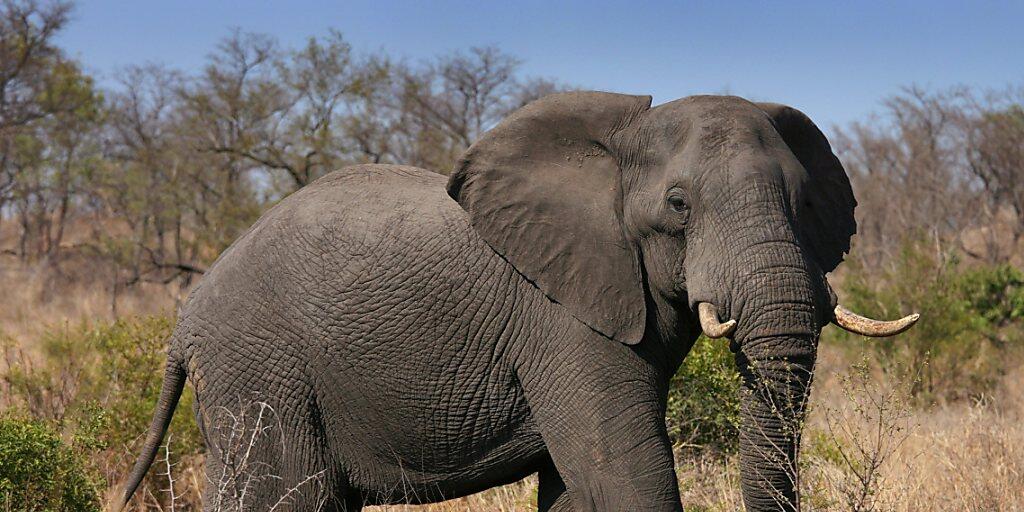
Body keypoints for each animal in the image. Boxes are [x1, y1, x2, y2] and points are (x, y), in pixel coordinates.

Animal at [119, 92, 921, 512]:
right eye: (678, 205)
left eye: (807, 202)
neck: (615, 146)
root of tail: (184, 321)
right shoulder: (558, 316)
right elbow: (623, 469)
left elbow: (577, 485)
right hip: (261, 372)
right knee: (286, 497)